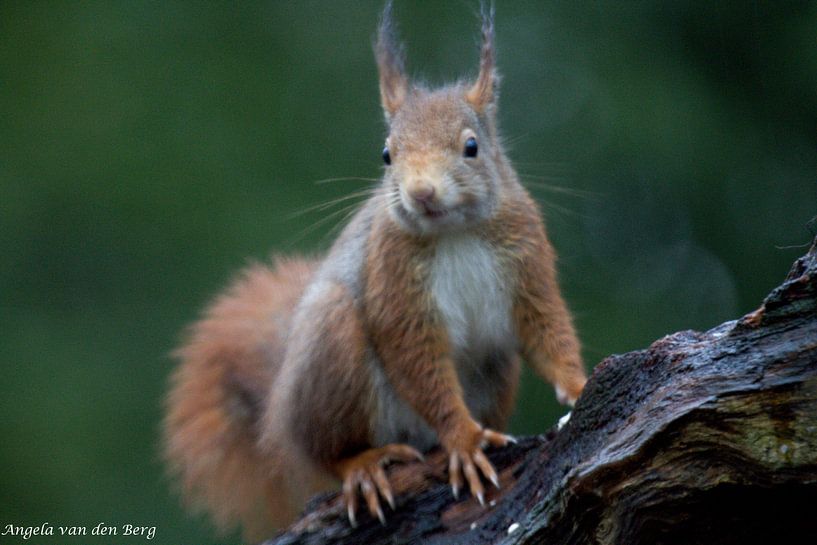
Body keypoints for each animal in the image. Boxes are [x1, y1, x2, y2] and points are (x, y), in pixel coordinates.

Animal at [163, 4, 586, 541]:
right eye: (387, 154)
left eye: (471, 147)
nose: (421, 192)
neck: (455, 233)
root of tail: (276, 422)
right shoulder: (393, 281)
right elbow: (417, 360)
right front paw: (465, 441)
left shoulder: (526, 260)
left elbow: (546, 328)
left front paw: (580, 384)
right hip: (331, 347)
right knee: (329, 452)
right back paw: (363, 465)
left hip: (494, 372)